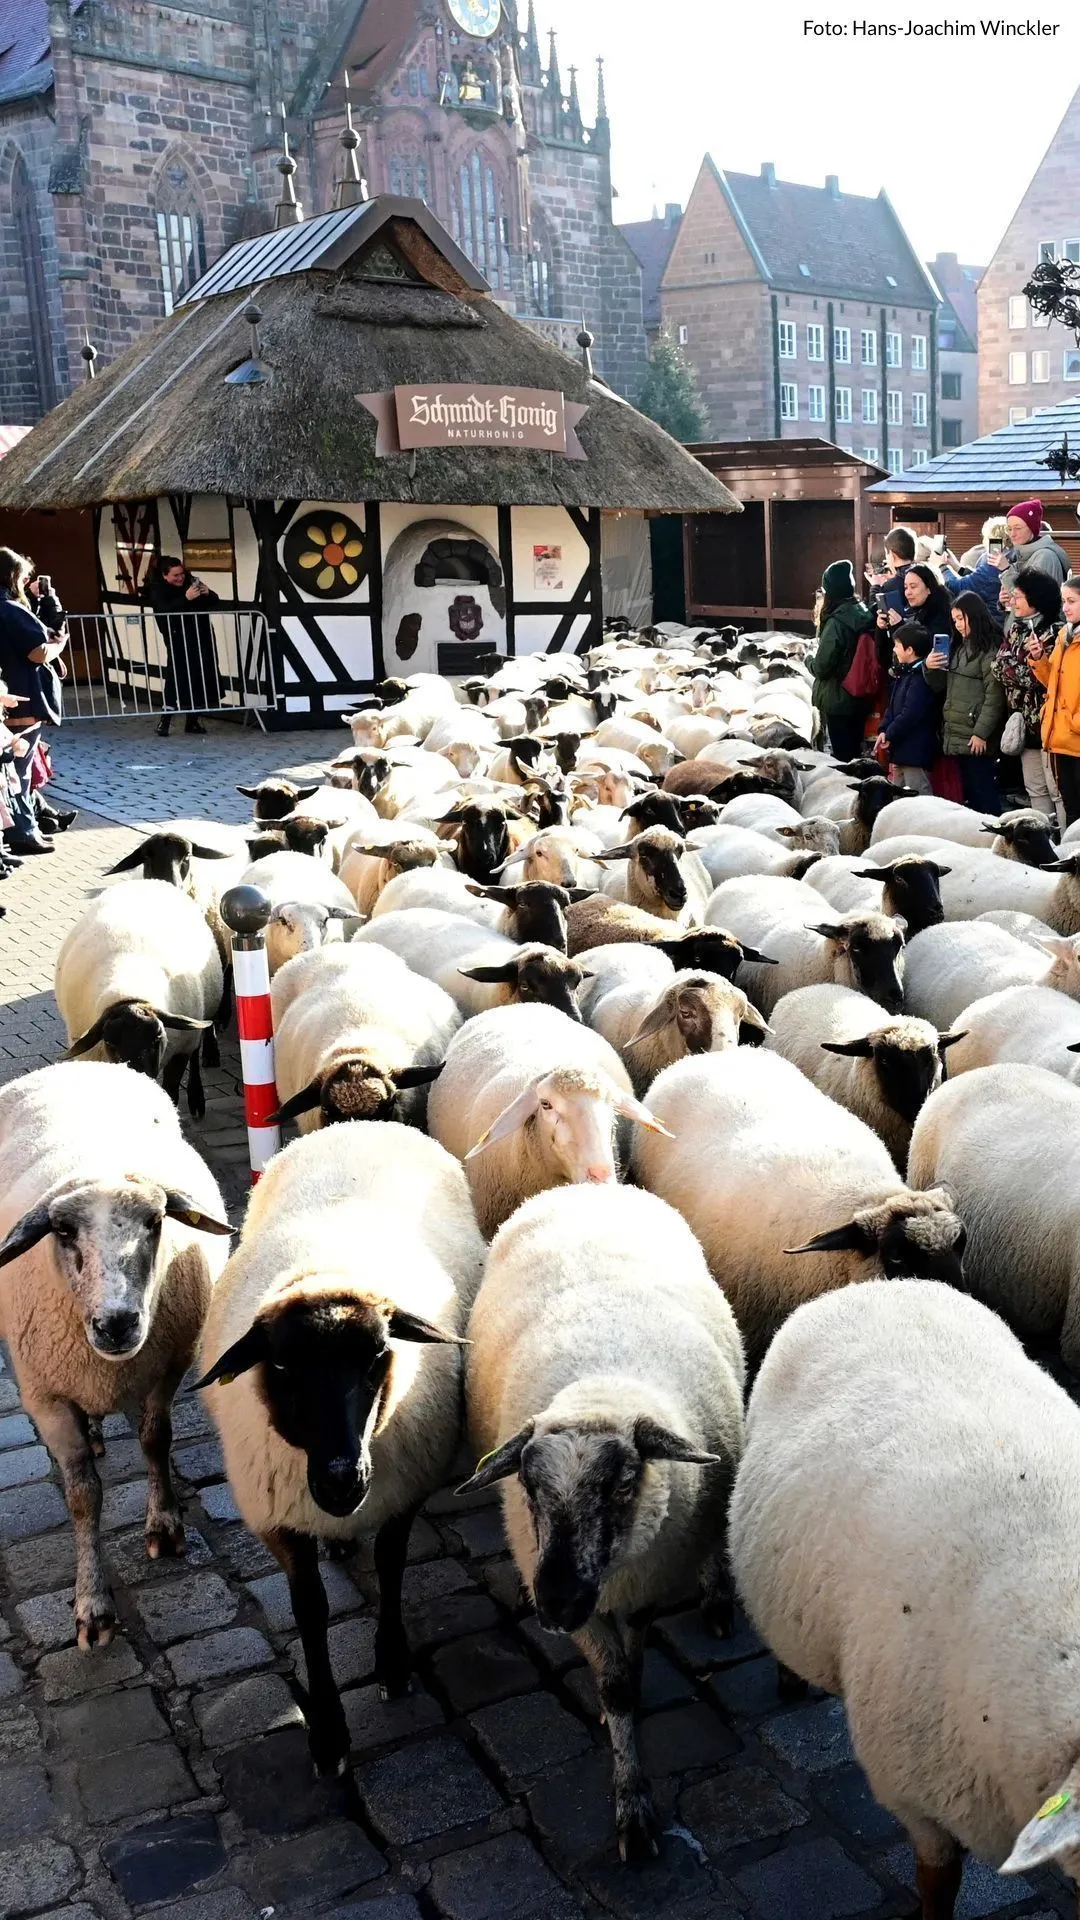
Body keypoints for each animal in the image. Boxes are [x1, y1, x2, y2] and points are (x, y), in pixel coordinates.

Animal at [0, 1061, 231, 1647]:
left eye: (156, 1222)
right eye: (62, 1230)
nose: (118, 1322)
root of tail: (79, 1063)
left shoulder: (165, 1369)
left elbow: (155, 1442)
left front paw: (165, 1527)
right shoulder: (45, 1397)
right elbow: (83, 1495)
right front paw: (92, 1606)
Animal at [55, 879, 223, 1119]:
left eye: (157, 1037)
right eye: (109, 1041)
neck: (129, 988)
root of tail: (150, 881)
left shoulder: (179, 1051)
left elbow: (171, 1092)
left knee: (197, 1052)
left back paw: (197, 1096)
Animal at [198, 1122, 484, 1775]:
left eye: (378, 1354)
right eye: (280, 1364)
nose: (340, 1480)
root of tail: (361, 1122)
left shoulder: (402, 1488)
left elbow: (392, 1566)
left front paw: (392, 1664)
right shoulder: (280, 1519)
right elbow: (311, 1610)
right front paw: (328, 1736)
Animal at [461, 1183, 745, 1859]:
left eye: (621, 1485)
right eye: (528, 1489)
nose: (556, 1605)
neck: (601, 1390)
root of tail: (589, 1184)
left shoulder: (645, 1578)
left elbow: (630, 1665)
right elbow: (613, 1683)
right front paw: (631, 1797)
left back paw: (717, 1600)